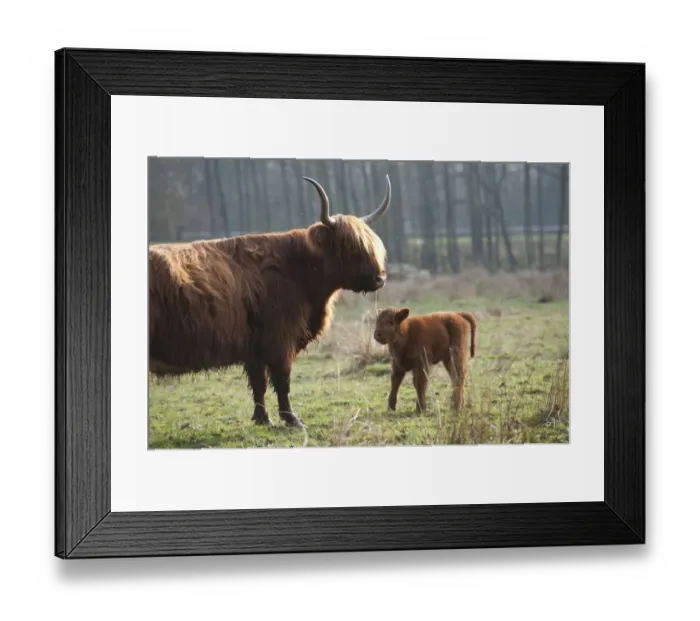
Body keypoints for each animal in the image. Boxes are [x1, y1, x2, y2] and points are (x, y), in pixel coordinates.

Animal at [148, 174, 392, 428]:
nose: (380, 277)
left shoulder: (255, 346)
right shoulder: (280, 340)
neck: (298, 269)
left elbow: (259, 384)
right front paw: (292, 419)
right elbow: (282, 381)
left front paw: (262, 419)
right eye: (351, 246)